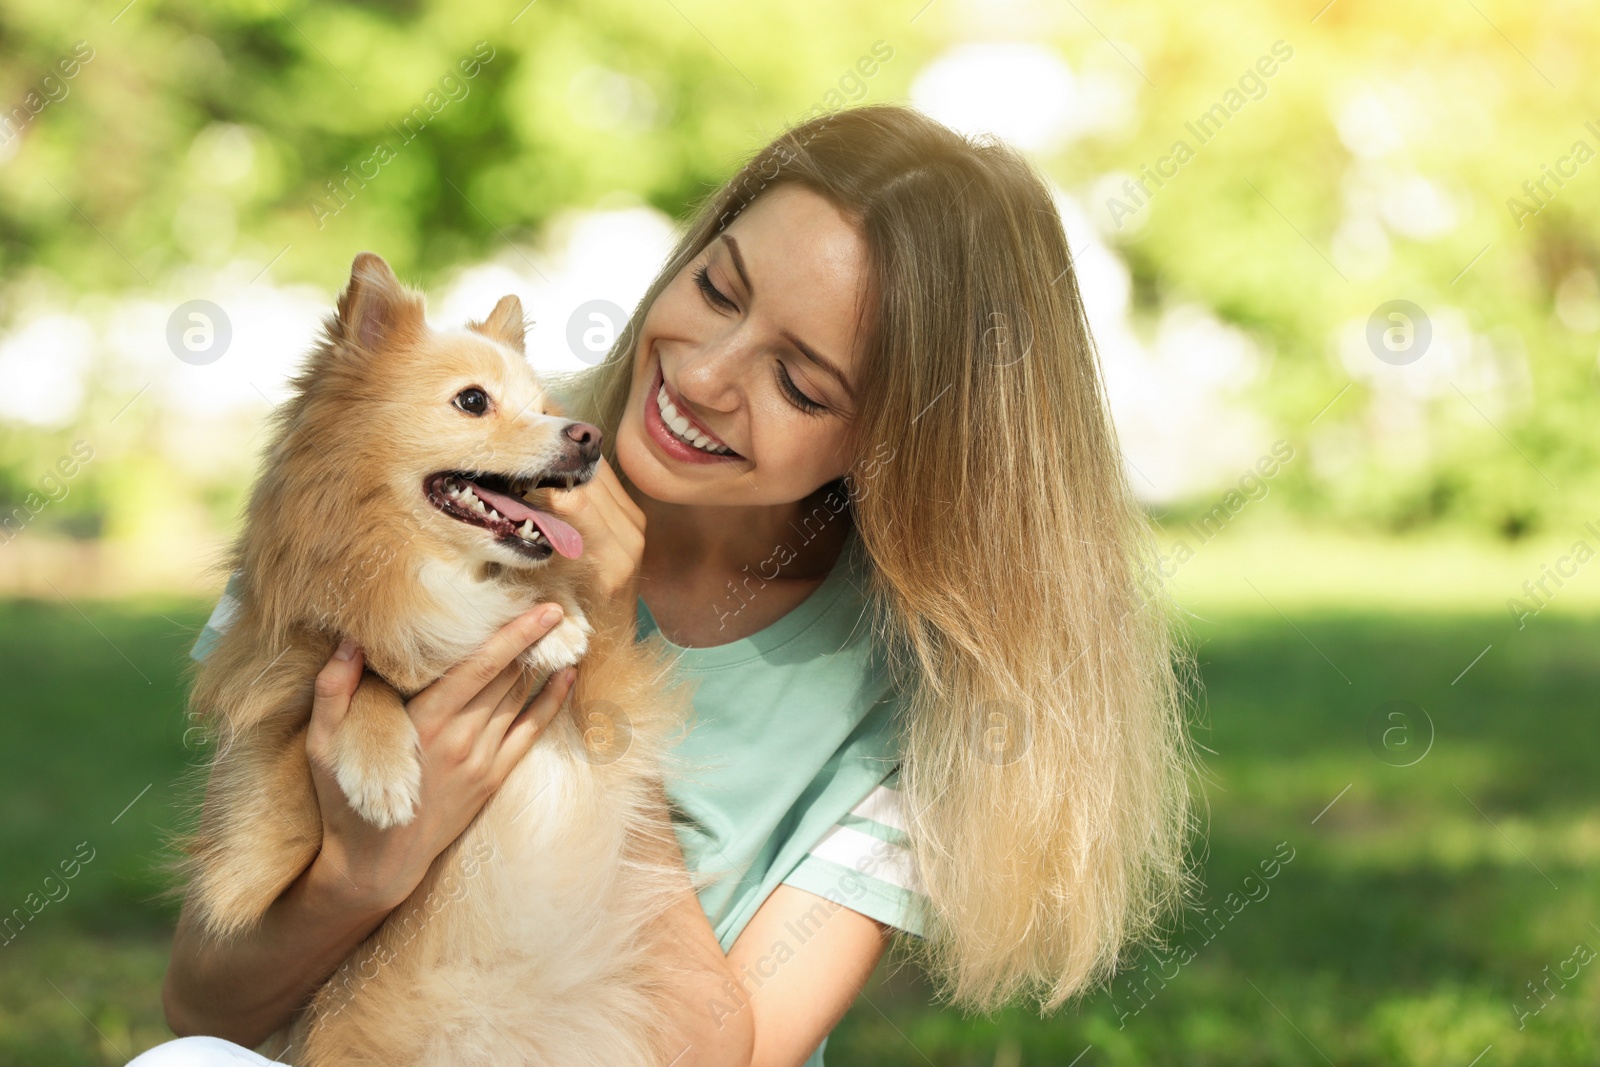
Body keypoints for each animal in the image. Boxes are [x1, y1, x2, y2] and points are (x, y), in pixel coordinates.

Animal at [178, 252, 697, 1067]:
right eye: (473, 401)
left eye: (544, 405)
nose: (586, 436)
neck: (421, 572)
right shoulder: (251, 839)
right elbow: (351, 689)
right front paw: (383, 766)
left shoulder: (609, 717)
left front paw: (550, 621)